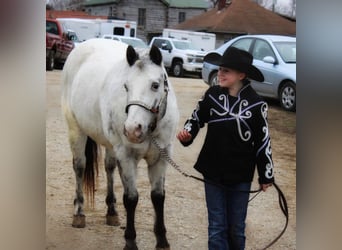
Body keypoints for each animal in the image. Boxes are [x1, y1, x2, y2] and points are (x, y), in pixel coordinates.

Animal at [60, 39, 179, 250]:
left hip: (110, 145)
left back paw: (112, 212)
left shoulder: (161, 157)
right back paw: (79, 213)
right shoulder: (127, 156)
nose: (132, 129)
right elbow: (131, 198)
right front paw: (130, 241)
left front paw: (162, 240)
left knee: (109, 167)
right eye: (126, 86)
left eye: (155, 85)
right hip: (76, 130)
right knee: (79, 167)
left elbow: (158, 196)